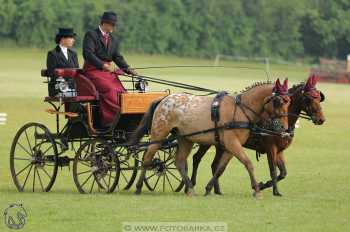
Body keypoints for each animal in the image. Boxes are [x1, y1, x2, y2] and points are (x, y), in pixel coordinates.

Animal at [131, 78, 290, 198]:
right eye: (278, 101)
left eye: (289, 101)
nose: (284, 128)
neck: (240, 110)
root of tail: (164, 99)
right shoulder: (232, 143)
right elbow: (248, 163)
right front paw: (257, 189)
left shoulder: (230, 146)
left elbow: (220, 168)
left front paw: (208, 188)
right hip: (159, 134)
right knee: (147, 158)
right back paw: (138, 187)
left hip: (185, 139)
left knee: (180, 161)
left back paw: (190, 188)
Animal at [190, 74, 324, 196]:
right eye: (308, 98)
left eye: (319, 98)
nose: (321, 119)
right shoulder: (271, 148)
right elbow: (273, 170)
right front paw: (272, 190)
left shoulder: (279, 150)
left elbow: (283, 173)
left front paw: (264, 185)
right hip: (207, 141)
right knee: (197, 158)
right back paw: (192, 184)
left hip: (220, 145)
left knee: (214, 165)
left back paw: (217, 190)